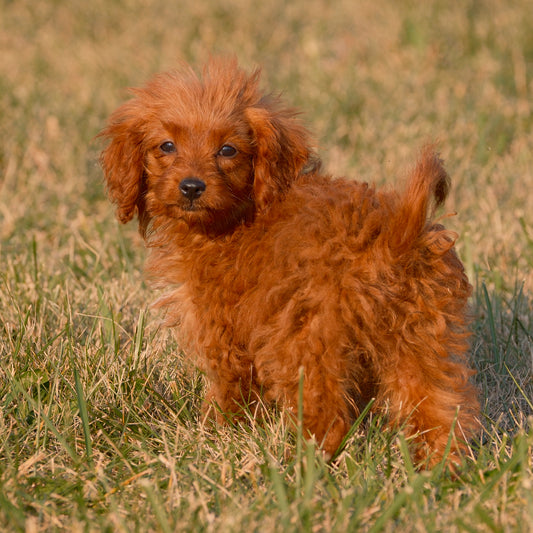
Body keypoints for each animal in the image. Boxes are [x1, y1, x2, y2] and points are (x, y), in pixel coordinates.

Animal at [100, 59, 478, 466]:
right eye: (166, 146)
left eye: (228, 150)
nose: (191, 187)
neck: (242, 211)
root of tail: (391, 237)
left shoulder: (222, 326)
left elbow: (230, 385)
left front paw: (217, 430)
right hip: (421, 339)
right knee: (439, 409)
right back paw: (439, 468)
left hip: (307, 341)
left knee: (328, 416)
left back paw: (300, 462)